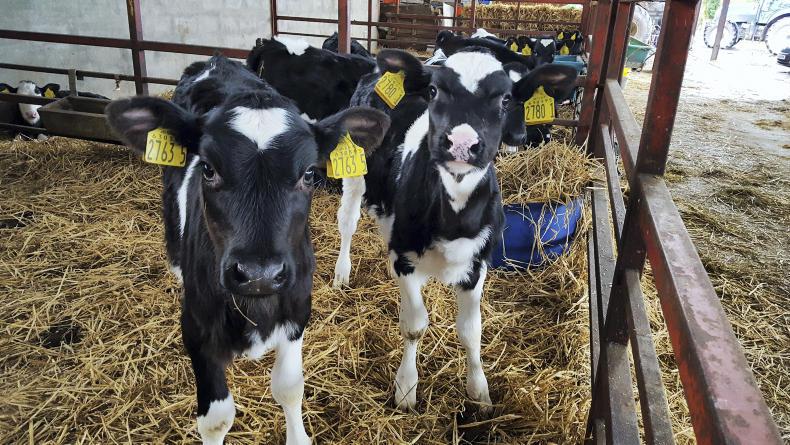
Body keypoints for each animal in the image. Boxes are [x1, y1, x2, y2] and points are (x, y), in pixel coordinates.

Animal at [105, 54, 389, 445]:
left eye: (309, 174)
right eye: (208, 169)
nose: (259, 274)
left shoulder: (297, 309)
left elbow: (289, 388)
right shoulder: (196, 325)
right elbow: (216, 419)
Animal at [331, 48, 575, 413]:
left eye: (506, 98)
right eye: (433, 91)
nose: (461, 143)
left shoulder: (477, 264)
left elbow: (471, 332)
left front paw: (480, 392)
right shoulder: (406, 259)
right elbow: (415, 326)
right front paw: (406, 388)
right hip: (355, 168)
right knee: (348, 220)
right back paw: (342, 273)